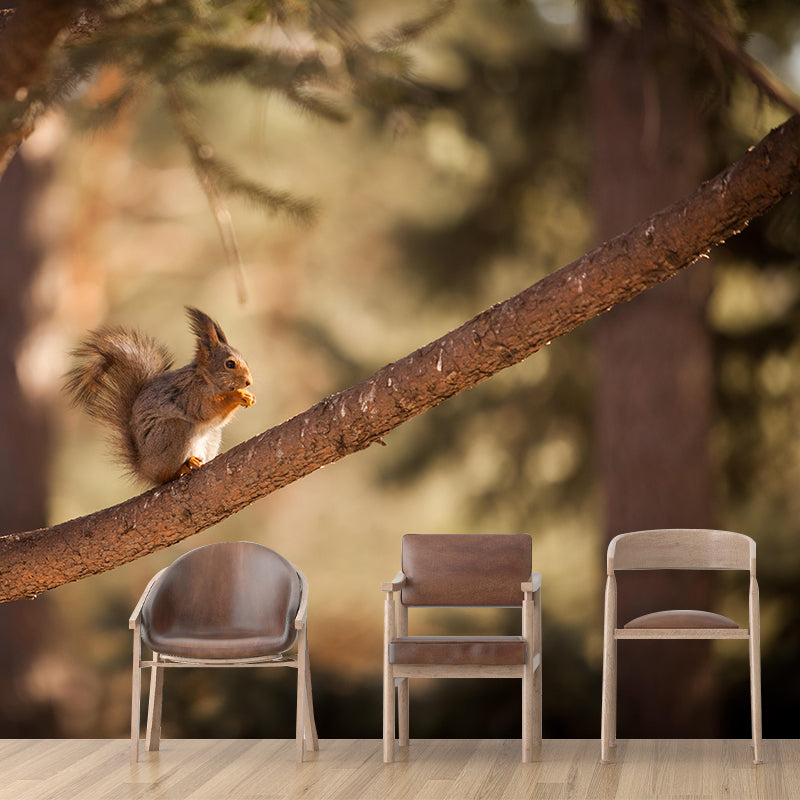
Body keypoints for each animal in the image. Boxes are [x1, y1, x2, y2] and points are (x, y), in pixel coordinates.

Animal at [65, 307, 255, 485]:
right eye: (230, 364)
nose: (249, 382)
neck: (207, 378)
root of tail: (144, 467)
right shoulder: (191, 394)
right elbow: (206, 410)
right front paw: (237, 395)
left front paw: (248, 396)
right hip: (173, 431)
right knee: (164, 476)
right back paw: (183, 467)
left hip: (212, 437)